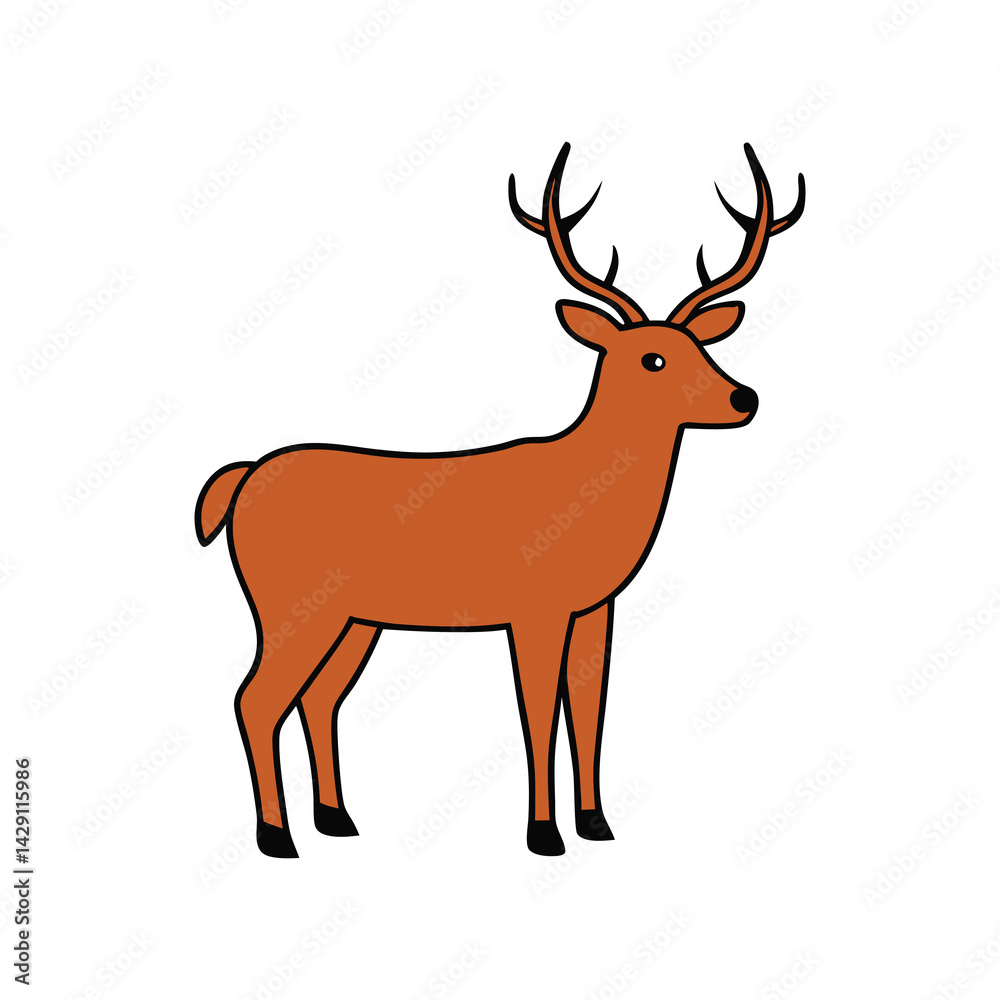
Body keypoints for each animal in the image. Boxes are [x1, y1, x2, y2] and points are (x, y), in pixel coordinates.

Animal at [195, 141, 805, 858]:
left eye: (703, 345)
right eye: (652, 358)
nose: (744, 397)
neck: (586, 491)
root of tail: (238, 483)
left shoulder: (594, 607)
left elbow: (590, 710)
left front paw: (596, 823)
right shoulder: (533, 607)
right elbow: (537, 713)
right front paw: (544, 834)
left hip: (352, 619)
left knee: (318, 701)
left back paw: (337, 819)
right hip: (287, 604)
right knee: (255, 699)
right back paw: (276, 836)